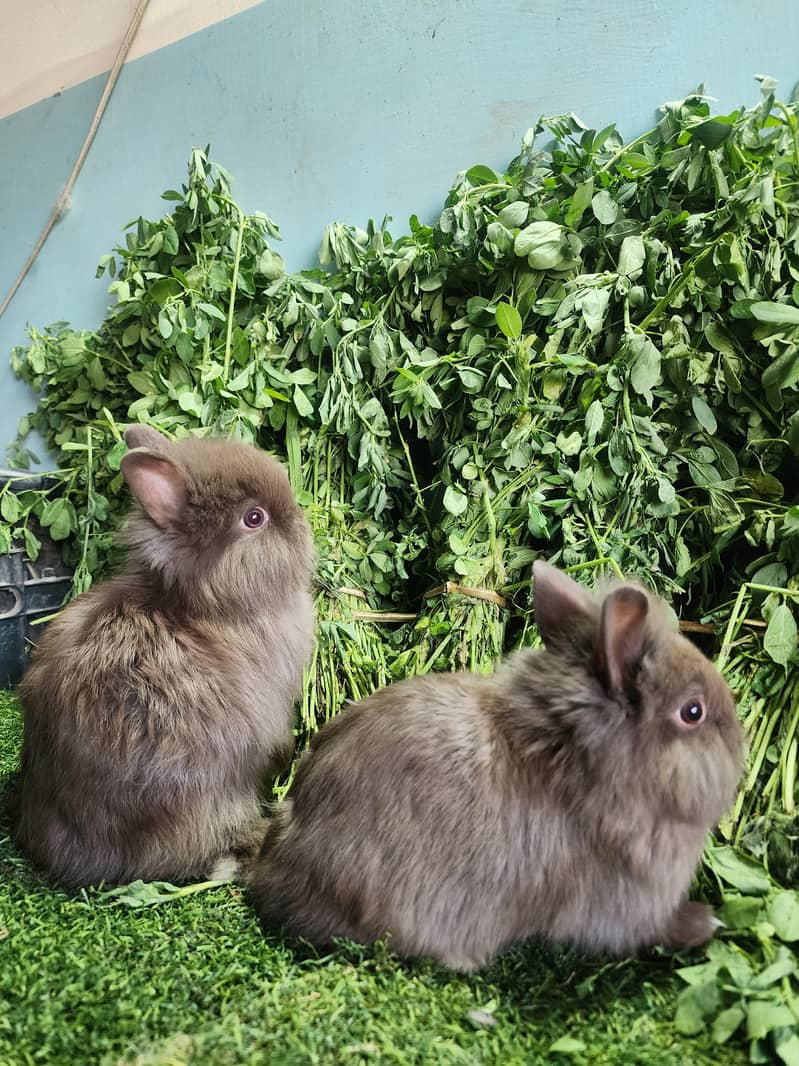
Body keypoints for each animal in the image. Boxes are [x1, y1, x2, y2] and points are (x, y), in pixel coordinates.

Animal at [249, 560, 744, 972]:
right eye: (693, 712)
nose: (740, 750)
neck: (581, 764)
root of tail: (273, 872)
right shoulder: (626, 903)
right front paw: (706, 923)